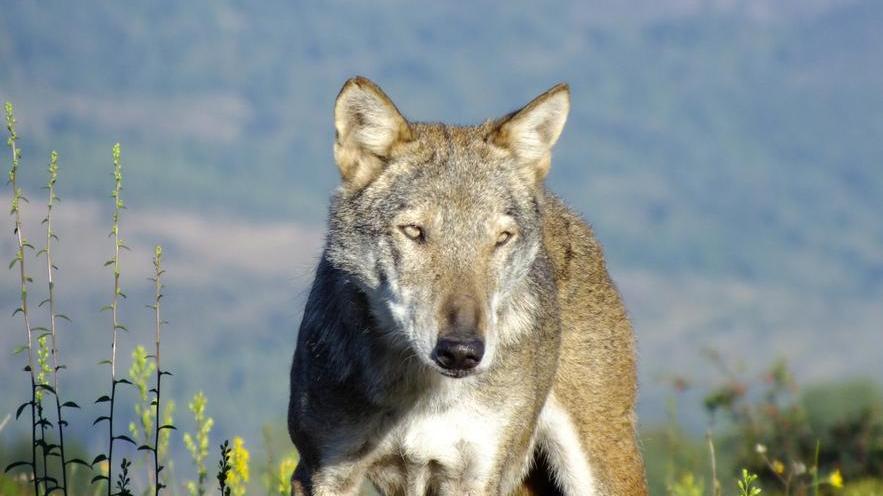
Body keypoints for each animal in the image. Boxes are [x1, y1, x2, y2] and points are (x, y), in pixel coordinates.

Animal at [287, 77, 647, 495]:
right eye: (415, 231)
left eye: (501, 238)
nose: (461, 352)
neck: (422, 393)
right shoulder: (321, 471)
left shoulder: (477, 475)